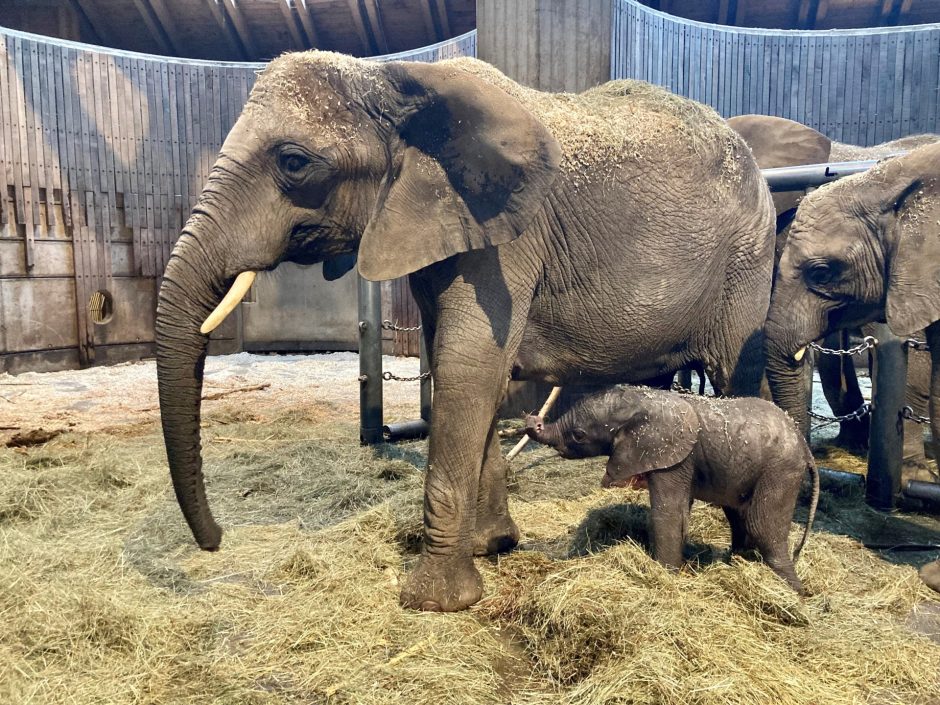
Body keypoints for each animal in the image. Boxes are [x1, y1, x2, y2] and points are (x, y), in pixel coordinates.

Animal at [158, 53, 776, 612]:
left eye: (293, 161)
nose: (215, 542)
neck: (394, 79)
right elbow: (467, 371)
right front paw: (492, 545)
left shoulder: (508, 243)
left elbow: (467, 369)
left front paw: (434, 602)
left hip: (747, 263)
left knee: (738, 376)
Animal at [524, 388, 820, 592]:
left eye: (579, 435)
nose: (533, 420)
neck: (639, 400)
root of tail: (804, 444)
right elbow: (679, 513)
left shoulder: (672, 457)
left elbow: (667, 514)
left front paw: (664, 576)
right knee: (739, 517)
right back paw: (736, 563)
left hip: (781, 468)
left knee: (762, 526)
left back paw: (795, 592)